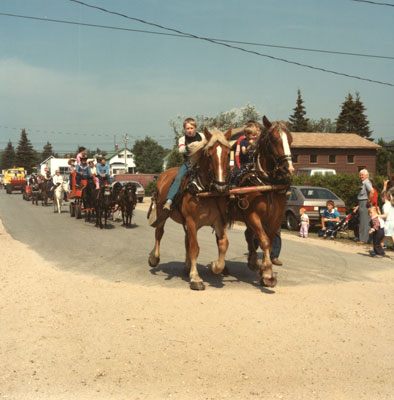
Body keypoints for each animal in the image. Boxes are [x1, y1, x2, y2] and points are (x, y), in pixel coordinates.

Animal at [149, 128, 232, 290]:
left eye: (228, 153)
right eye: (209, 155)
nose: (221, 186)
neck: (203, 189)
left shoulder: (217, 221)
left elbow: (223, 244)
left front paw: (215, 266)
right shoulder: (192, 221)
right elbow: (195, 248)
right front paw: (196, 278)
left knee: (186, 239)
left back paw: (187, 266)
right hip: (162, 214)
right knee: (159, 233)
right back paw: (154, 258)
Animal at [229, 115, 294, 288]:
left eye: (290, 139)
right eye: (274, 140)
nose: (288, 169)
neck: (266, 183)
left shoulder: (276, 218)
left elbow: (269, 242)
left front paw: (263, 269)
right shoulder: (252, 215)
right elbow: (264, 241)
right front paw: (267, 274)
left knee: (248, 235)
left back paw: (252, 261)